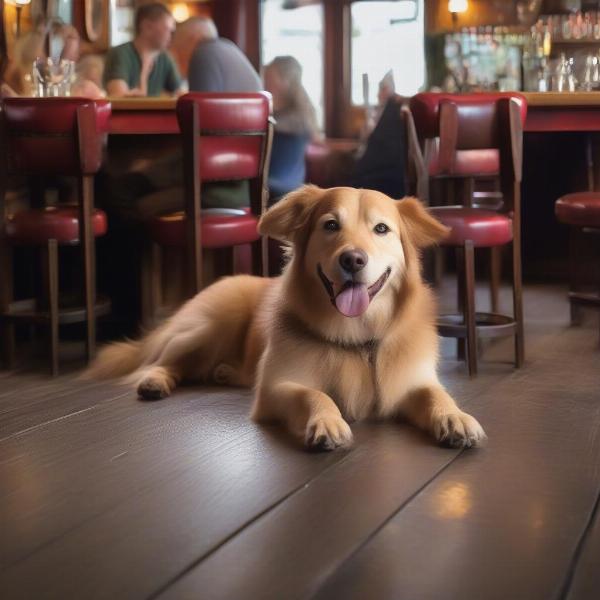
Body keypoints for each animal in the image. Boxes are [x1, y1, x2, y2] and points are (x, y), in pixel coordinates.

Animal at [86, 186, 486, 450]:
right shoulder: (275, 390)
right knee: (162, 359)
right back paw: (155, 381)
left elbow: (437, 395)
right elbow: (314, 394)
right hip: (207, 327)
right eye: (330, 225)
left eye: (382, 229)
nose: (352, 259)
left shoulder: (412, 382)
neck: (356, 338)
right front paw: (328, 421)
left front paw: (455, 417)